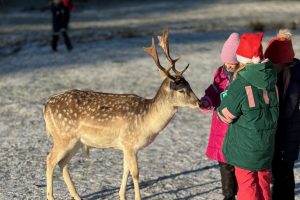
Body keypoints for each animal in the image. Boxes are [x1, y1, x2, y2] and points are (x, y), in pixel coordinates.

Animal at [43, 30, 200, 200]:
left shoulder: (125, 146)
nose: (200, 103)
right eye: (181, 90)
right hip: (63, 137)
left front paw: (122, 195)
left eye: (190, 85)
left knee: (62, 163)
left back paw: (77, 196)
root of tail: (46, 105)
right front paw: (137, 197)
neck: (147, 121)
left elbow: (126, 170)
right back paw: (51, 196)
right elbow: (136, 173)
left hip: (76, 141)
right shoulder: (129, 142)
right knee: (50, 160)